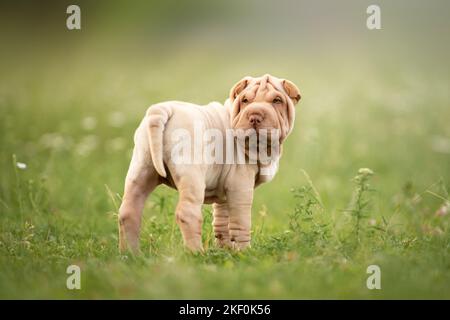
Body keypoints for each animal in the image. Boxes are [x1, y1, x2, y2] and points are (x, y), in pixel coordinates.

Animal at [118, 74, 300, 252]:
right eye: (245, 100)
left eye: (277, 100)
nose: (254, 117)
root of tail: (162, 109)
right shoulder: (240, 186)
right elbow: (240, 222)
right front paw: (245, 252)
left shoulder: (224, 192)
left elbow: (222, 222)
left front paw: (225, 250)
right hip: (192, 176)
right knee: (187, 213)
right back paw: (196, 254)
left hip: (141, 169)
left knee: (128, 211)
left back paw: (131, 254)